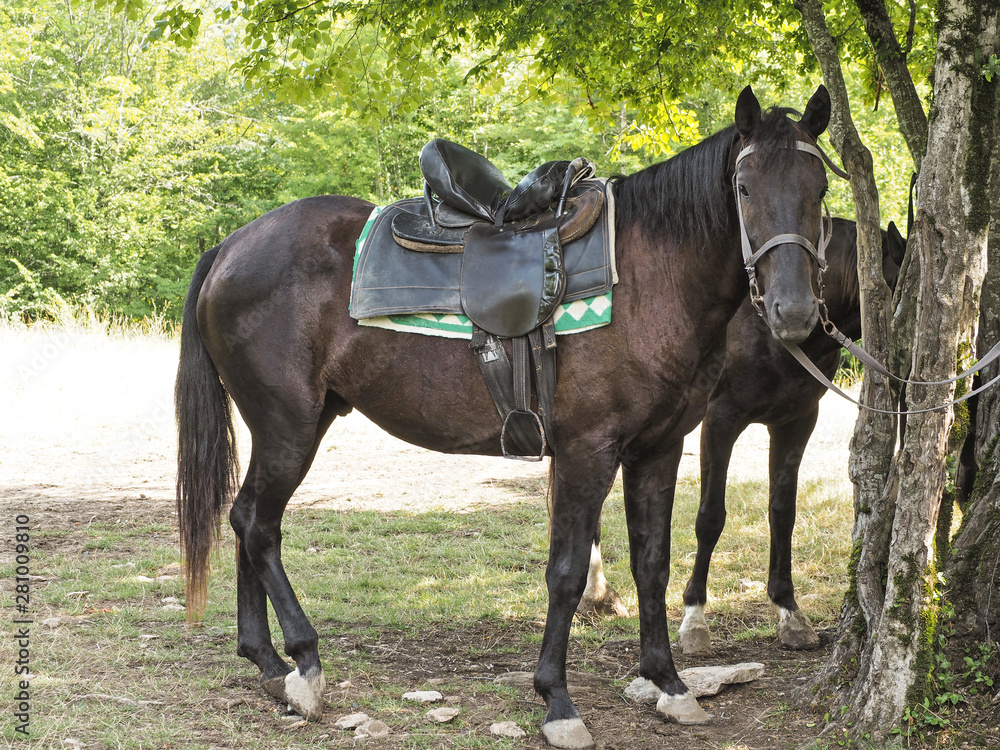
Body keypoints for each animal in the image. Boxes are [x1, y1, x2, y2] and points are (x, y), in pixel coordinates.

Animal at [176, 86, 832, 748]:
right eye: (744, 188)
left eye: (821, 187)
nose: (794, 311)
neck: (649, 280)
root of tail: (230, 247)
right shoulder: (586, 451)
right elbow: (567, 573)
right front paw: (558, 702)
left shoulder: (658, 448)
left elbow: (652, 563)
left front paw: (669, 684)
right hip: (288, 426)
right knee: (257, 524)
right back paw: (304, 664)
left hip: (290, 426)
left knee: (248, 520)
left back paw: (266, 662)